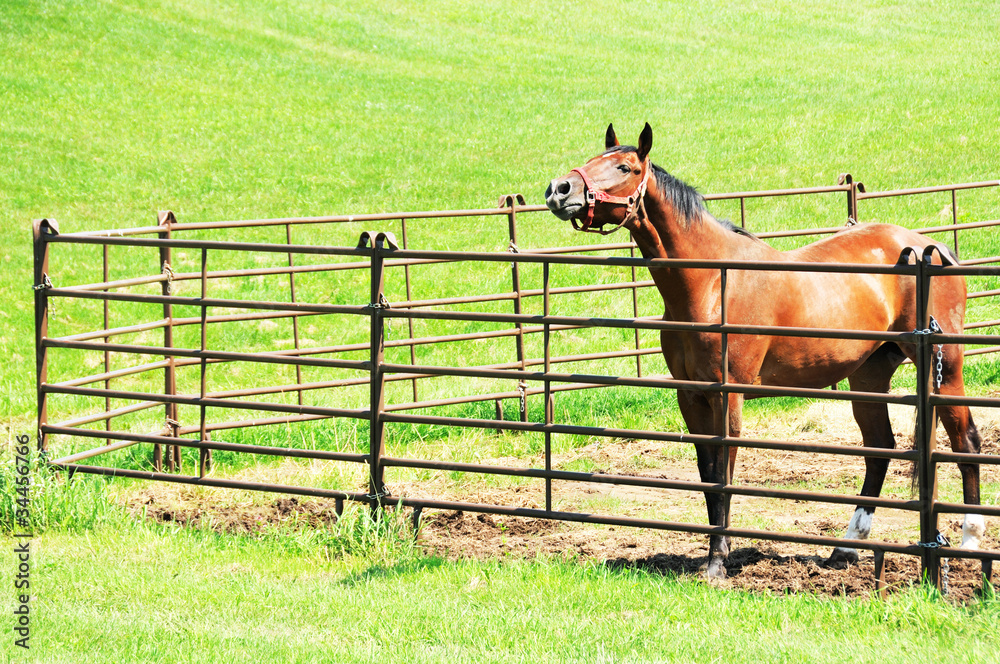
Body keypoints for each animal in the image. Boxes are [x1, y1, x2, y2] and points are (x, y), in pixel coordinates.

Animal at [544, 123, 985, 579]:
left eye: (625, 167)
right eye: (594, 159)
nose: (559, 189)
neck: (711, 283)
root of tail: (931, 249)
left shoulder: (728, 396)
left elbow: (724, 474)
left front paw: (717, 562)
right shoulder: (691, 396)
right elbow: (707, 475)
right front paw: (715, 552)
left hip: (945, 368)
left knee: (966, 442)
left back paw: (970, 541)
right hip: (868, 375)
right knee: (879, 449)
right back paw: (845, 549)